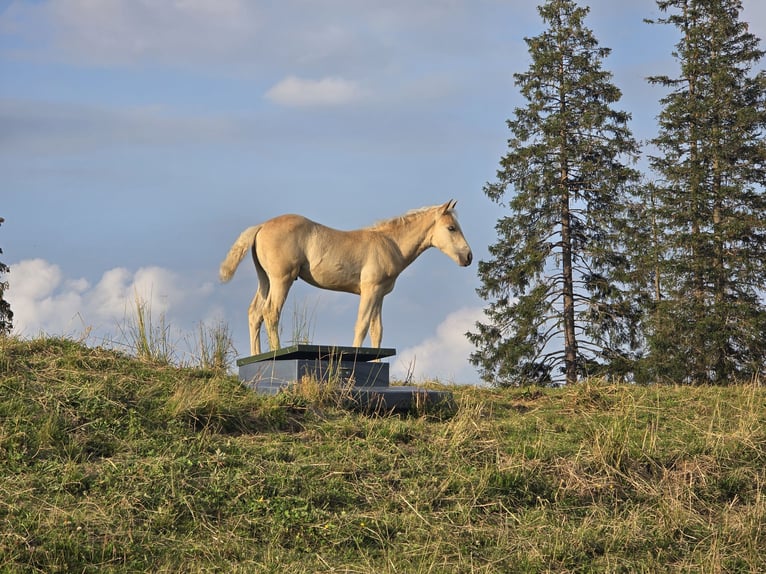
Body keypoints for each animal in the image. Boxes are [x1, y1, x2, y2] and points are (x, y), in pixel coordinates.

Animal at [220, 200, 474, 358]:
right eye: (451, 228)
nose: (468, 257)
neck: (389, 244)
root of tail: (261, 226)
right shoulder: (369, 290)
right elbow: (361, 325)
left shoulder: (379, 294)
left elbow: (377, 330)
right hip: (282, 279)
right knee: (270, 312)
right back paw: (275, 354)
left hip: (265, 279)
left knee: (255, 313)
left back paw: (256, 356)